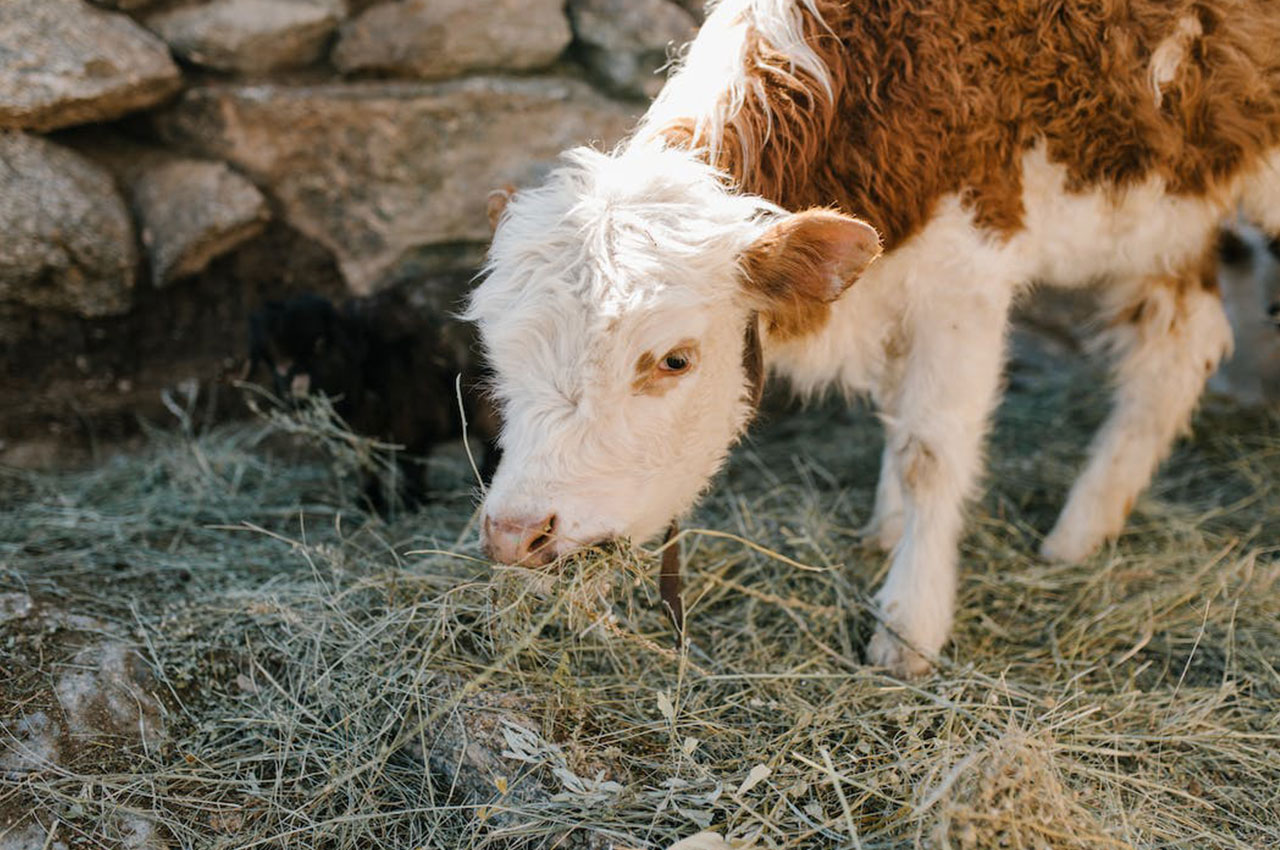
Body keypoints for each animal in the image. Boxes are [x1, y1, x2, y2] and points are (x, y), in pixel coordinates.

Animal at [244, 290, 499, 512]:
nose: (293, 391)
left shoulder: (413, 421)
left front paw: (412, 502)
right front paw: (370, 504)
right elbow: (367, 468)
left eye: (320, 344)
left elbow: (412, 465)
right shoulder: (360, 435)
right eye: (269, 359)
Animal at [468, 1, 1280, 675]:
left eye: (674, 359)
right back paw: (1081, 530)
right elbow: (897, 414)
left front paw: (909, 624)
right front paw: (886, 529)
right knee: (1182, 345)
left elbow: (930, 450)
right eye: (498, 359)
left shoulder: (966, 270)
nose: (514, 532)